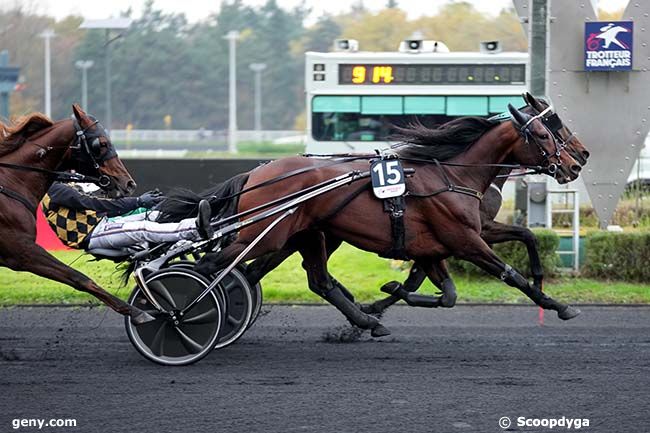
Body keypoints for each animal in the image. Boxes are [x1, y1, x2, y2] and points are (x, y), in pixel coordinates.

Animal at [0, 105, 154, 324]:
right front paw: (139, 312)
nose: (129, 183)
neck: (11, 181)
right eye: (102, 143)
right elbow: (80, 278)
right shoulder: (22, 251)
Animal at [159, 103, 580, 336]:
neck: (449, 175)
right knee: (215, 267)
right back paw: (180, 314)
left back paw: (366, 322)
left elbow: (448, 292)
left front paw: (387, 295)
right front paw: (558, 304)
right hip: (267, 234)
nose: (575, 163)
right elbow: (509, 274)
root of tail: (257, 172)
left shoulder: (439, 245)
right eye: (545, 133)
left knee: (313, 280)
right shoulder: (465, 240)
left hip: (304, 234)